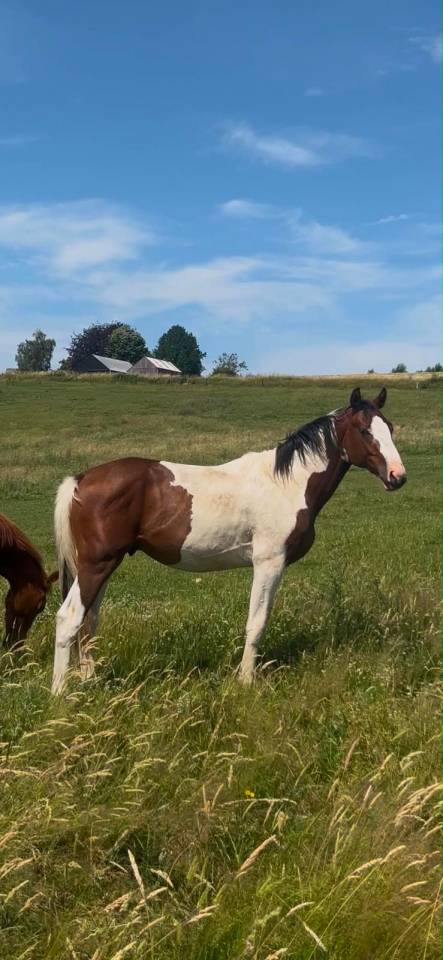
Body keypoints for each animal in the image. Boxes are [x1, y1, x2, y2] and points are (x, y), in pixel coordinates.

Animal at [51, 386, 406, 694]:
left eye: (389, 428)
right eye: (364, 430)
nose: (398, 477)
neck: (287, 483)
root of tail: (81, 480)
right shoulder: (268, 563)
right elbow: (256, 623)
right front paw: (246, 681)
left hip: (103, 566)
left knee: (89, 621)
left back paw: (88, 679)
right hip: (96, 565)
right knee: (69, 619)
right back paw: (59, 692)